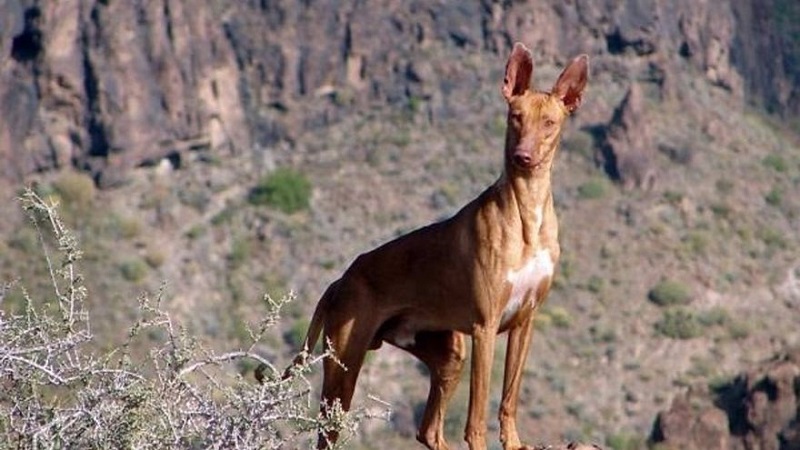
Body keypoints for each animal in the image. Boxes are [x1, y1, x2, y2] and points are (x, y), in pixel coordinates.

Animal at [294, 43, 588, 450]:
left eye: (550, 123)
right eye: (515, 117)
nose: (523, 158)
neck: (527, 214)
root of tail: (341, 279)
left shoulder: (524, 321)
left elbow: (509, 397)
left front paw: (513, 441)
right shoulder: (485, 326)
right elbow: (476, 414)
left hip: (449, 354)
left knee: (428, 429)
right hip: (344, 366)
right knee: (328, 434)